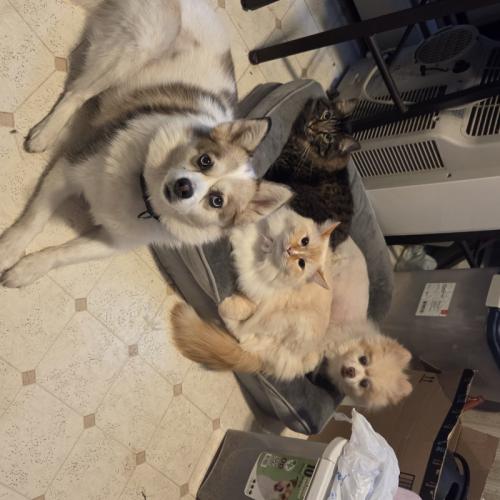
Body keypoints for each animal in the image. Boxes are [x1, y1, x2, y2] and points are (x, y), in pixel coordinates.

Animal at [0, 0, 291, 287]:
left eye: (217, 201)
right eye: (205, 160)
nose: (183, 187)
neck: (145, 192)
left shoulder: (113, 241)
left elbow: (63, 254)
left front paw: (29, 269)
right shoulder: (70, 169)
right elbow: (34, 220)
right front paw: (10, 249)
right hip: (138, 46)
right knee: (78, 93)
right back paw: (45, 133)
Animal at [171, 209, 413, 409]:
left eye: (364, 384)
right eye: (304, 241)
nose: (289, 250)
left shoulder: (265, 297)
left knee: (241, 334)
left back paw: (226, 307)